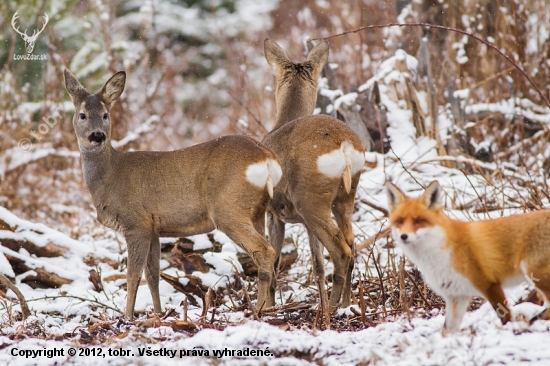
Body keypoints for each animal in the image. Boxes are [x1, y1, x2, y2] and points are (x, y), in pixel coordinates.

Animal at [63, 68, 284, 318]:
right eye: (82, 115)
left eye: (105, 114)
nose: (97, 135)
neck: (111, 176)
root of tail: (267, 158)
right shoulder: (153, 228)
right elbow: (153, 275)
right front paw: (159, 314)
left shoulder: (136, 223)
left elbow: (132, 276)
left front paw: (128, 317)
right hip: (257, 210)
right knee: (271, 254)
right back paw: (273, 306)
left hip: (228, 208)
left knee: (264, 251)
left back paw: (260, 309)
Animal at [264, 40, 366, 320]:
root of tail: (343, 144)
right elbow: (317, 265)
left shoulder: (273, 213)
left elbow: (273, 261)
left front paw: (266, 307)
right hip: (345, 196)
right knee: (351, 245)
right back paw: (344, 304)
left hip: (310, 197)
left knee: (341, 252)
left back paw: (330, 309)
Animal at [386, 182, 550, 334]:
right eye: (399, 221)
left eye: (419, 221)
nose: (404, 236)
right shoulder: (457, 296)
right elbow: (447, 330)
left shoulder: (489, 285)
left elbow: (505, 316)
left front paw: (509, 329)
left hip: (535, 274)